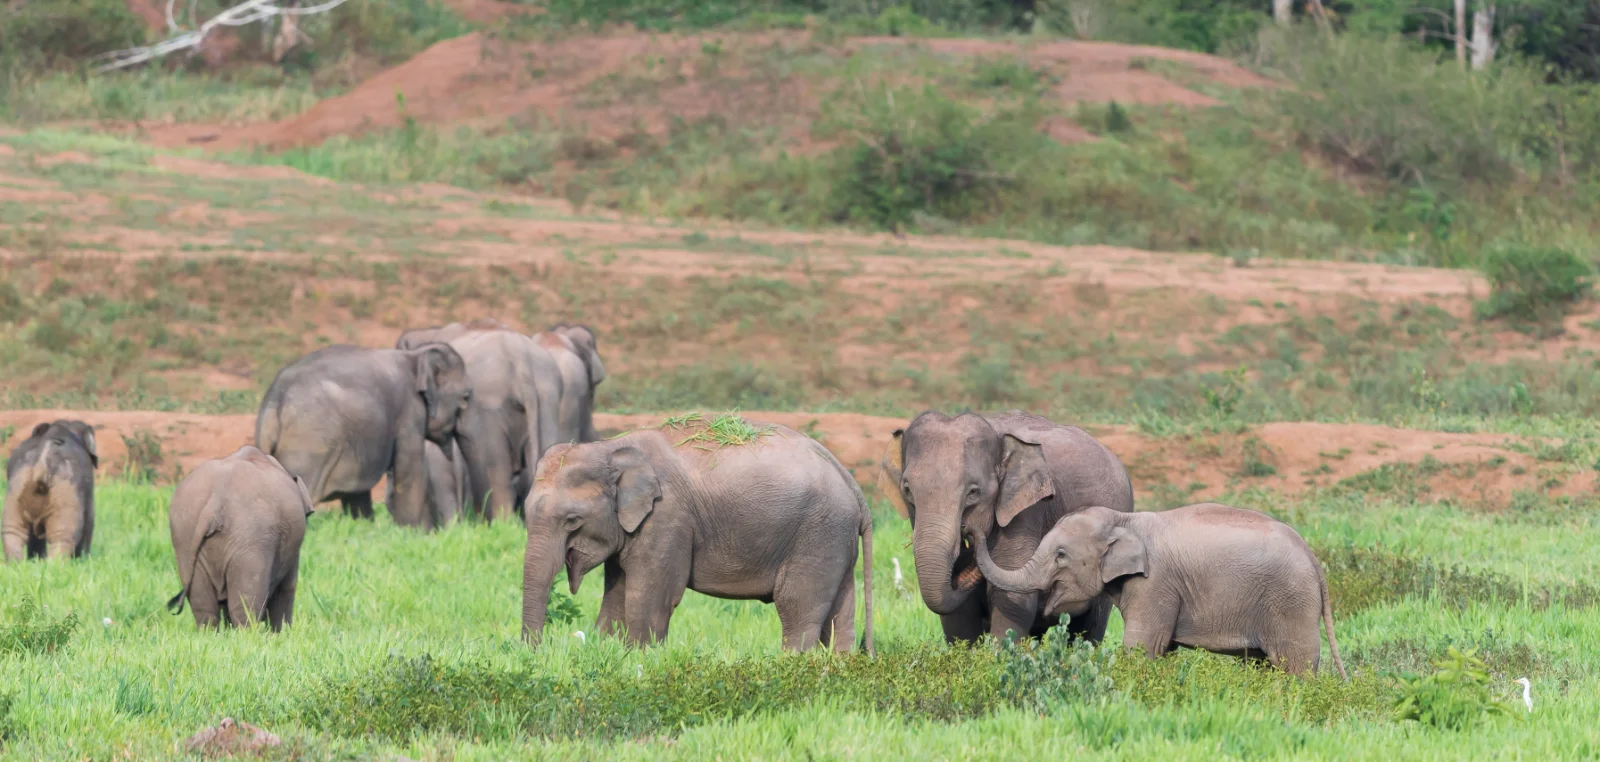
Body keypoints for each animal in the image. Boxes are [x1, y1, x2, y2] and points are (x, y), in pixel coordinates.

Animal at [166, 446, 314, 631]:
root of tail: (215, 502)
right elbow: (287, 586)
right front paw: (282, 633)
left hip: (185, 536)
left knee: (204, 608)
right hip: (250, 541)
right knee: (246, 605)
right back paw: (247, 635)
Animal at [255, 344, 471, 523]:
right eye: (466, 397)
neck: (415, 356)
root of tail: (275, 397)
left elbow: (357, 494)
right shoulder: (409, 412)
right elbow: (409, 471)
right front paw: (412, 532)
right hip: (308, 445)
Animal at [520, 418, 874, 653]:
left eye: (572, 520)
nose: (536, 651)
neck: (609, 448)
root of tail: (853, 485)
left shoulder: (668, 518)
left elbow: (650, 595)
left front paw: (639, 657)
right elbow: (617, 593)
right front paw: (607, 649)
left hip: (818, 533)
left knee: (797, 606)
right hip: (835, 538)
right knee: (840, 610)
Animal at [880, 410, 1133, 645]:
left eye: (973, 492)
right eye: (907, 490)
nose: (970, 533)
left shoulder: (1026, 514)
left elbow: (1010, 599)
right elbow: (959, 613)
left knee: (1089, 626)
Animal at [970, 503, 1348, 678]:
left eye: (1061, 555)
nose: (970, 530)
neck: (1124, 520)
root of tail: (1314, 560)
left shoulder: (1154, 585)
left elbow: (1141, 647)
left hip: (1290, 602)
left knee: (1295, 665)